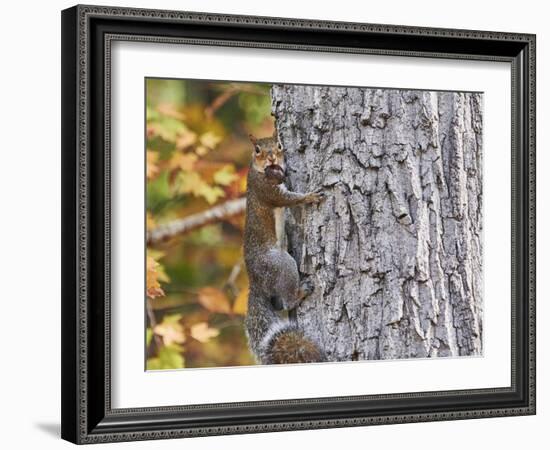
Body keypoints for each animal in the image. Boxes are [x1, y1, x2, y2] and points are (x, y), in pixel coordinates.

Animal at [244, 132, 326, 364]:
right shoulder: (267, 191)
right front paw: (310, 196)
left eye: (279, 145)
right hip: (280, 265)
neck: (259, 171)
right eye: (257, 150)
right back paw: (301, 291)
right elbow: (288, 198)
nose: (272, 157)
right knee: (288, 302)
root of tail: (256, 282)